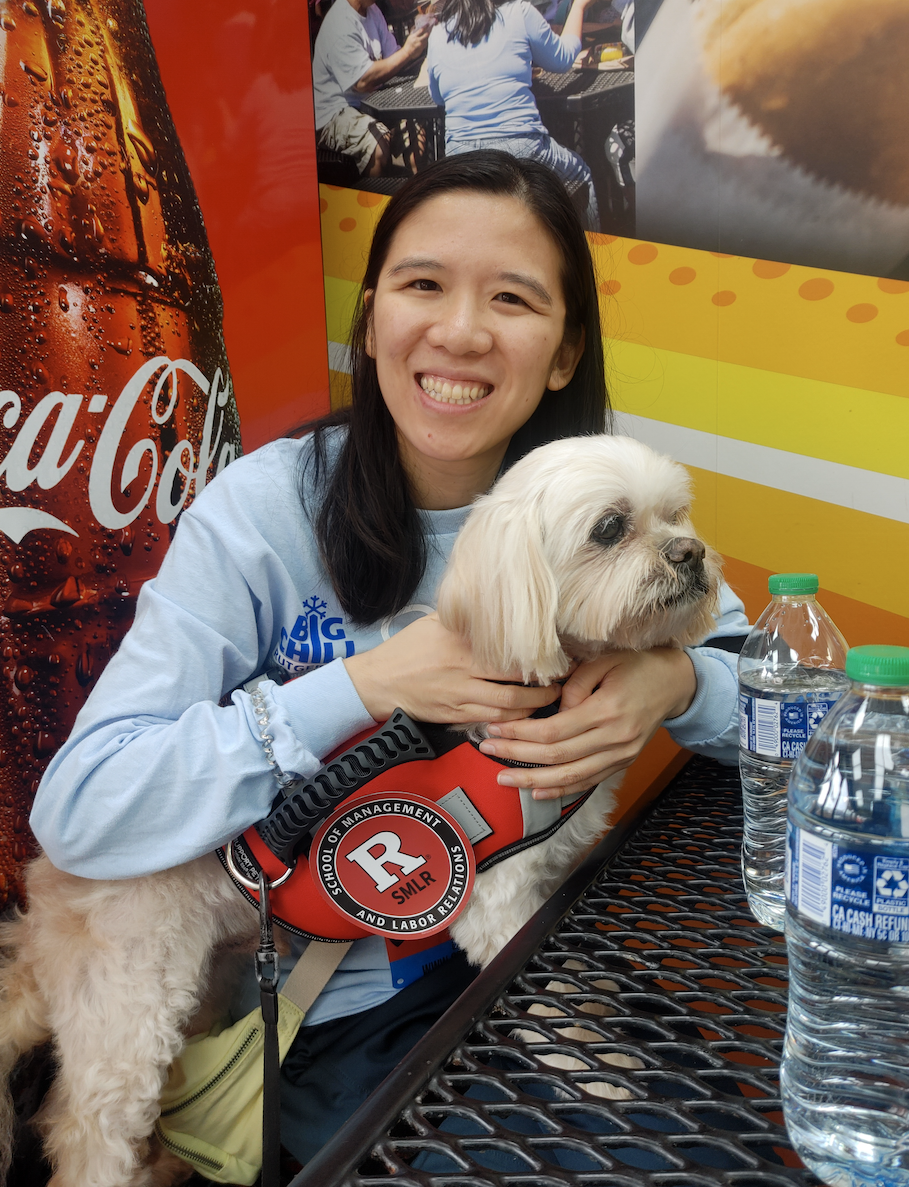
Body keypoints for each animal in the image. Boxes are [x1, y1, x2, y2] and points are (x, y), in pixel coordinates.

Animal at [0, 436, 726, 1187]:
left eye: (677, 515)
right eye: (609, 528)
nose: (691, 552)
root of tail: (41, 895)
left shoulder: (547, 873)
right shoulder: (495, 899)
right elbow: (550, 1003)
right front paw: (598, 1065)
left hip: (211, 976)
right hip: (129, 1004)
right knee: (85, 1128)